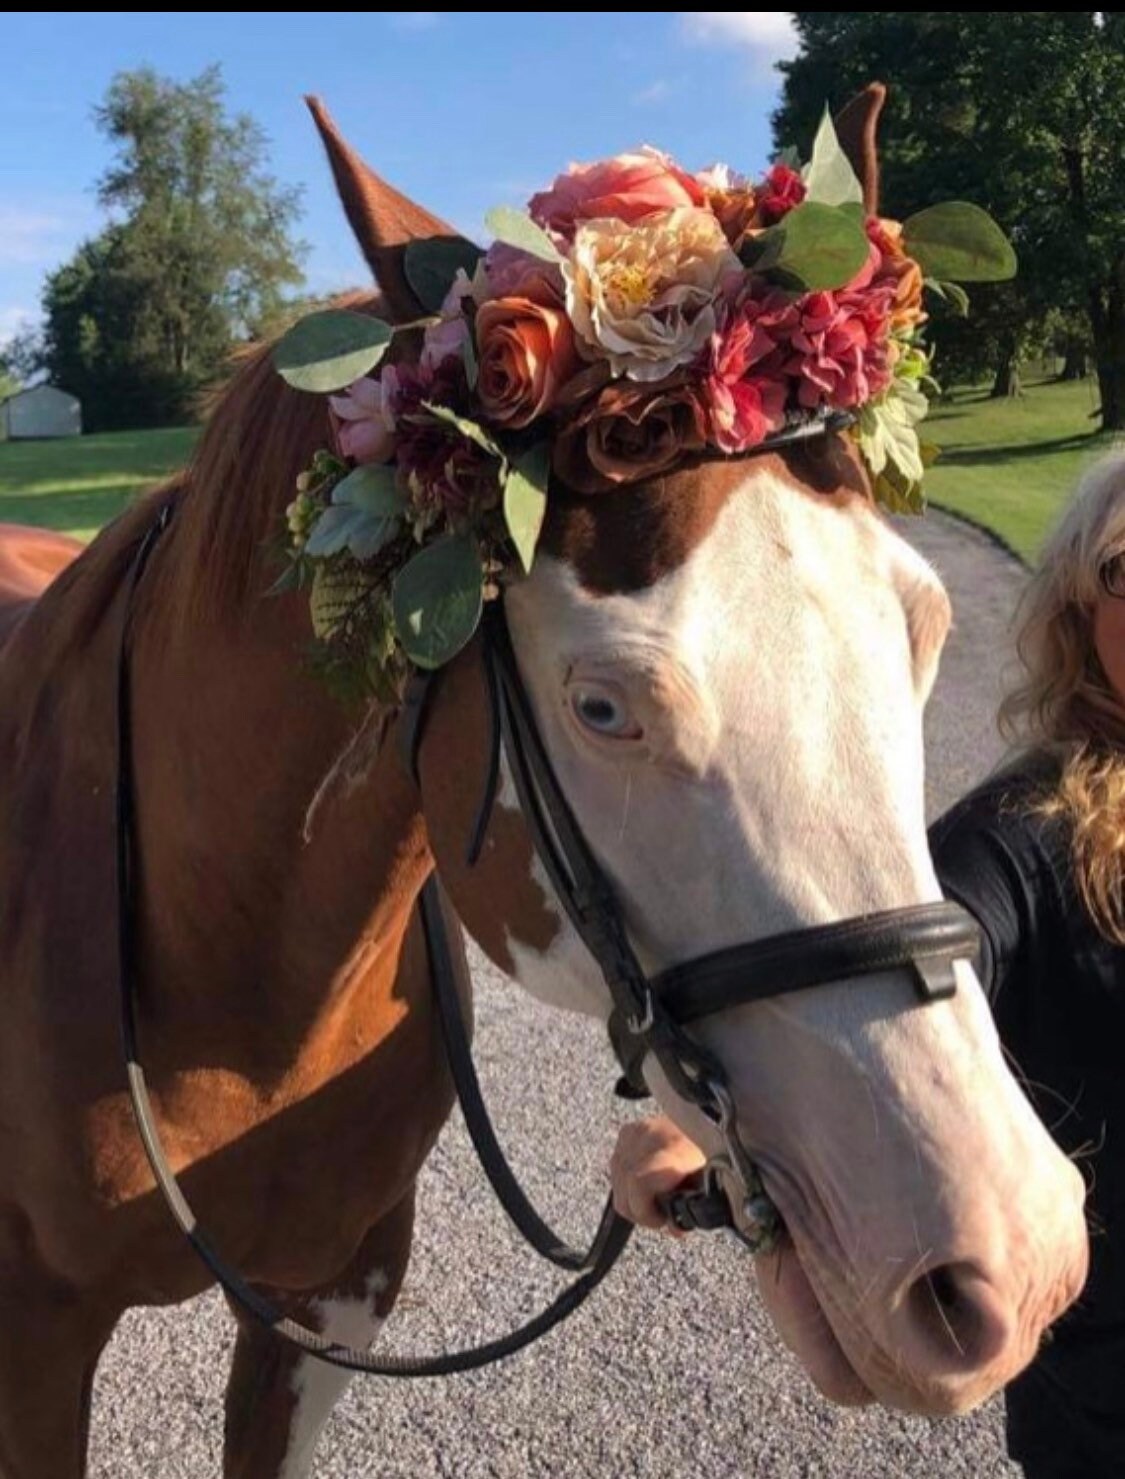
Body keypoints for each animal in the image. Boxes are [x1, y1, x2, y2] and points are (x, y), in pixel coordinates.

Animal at [0, 95, 1088, 1479]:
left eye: (927, 625)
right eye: (603, 707)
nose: (1008, 1252)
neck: (214, 956)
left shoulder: (331, 1303)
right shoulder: (34, 1348)